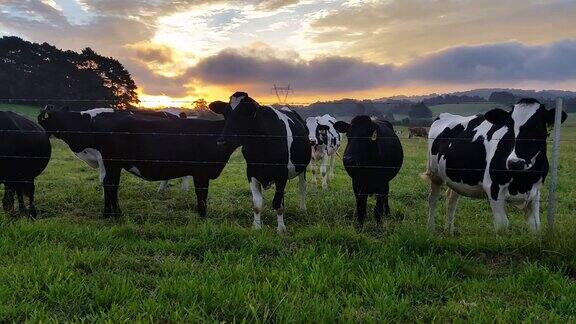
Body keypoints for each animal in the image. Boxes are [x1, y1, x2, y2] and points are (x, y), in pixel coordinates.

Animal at [37, 106, 234, 218]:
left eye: (42, 121)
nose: (35, 131)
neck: (86, 123)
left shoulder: (103, 159)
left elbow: (106, 182)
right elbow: (106, 182)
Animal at [209, 93, 312, 233]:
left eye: (244, 113)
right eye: (225, 114)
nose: (221, 142)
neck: (260, 146)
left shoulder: (281, 174)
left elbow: (277, 203)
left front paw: (281, 229)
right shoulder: (251, 172)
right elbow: (257, 204)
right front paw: (256, 227)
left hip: (302, 168)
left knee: (302, 187)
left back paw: (303, 209)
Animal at [420, 97, 568, 234]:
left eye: (537, 126)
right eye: (509, 127)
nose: (515, 163)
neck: (522, 181)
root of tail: (446, 115)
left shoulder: (535, 192)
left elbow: (535, 226)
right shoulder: (493, 188)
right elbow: (502, 226)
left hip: (454, 176)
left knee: (451, 198)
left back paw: (449, 230)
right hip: (434, 173)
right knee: (432, 199)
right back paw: (430, 228)